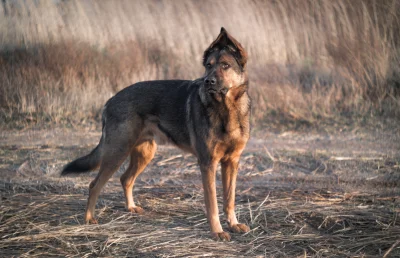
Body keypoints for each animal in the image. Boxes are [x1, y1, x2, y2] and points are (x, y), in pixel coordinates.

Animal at [61, 27, 250, 241]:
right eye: (208, 66)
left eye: (225, 65)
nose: (208, 81)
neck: (226, 109)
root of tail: (109, 101)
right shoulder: (207, 164)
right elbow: (213, 204)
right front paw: (217, 231)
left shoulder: (231, 162)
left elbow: (229, 199)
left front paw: (233, 225)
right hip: (117, 153)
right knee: (95, 185)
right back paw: (89, 219)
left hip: (144, 153)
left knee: (125, 179)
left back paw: (131, 207)